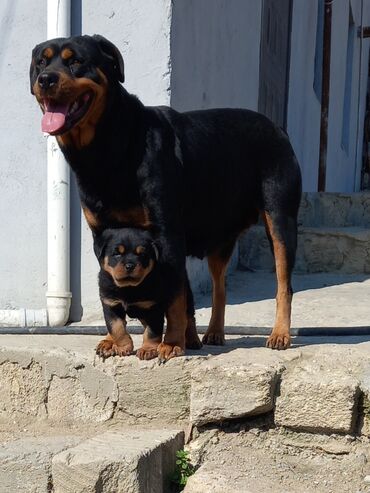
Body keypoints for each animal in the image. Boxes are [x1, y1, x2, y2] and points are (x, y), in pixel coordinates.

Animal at [94, 228, 197, 362]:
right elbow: (116, 328)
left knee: (188, 317)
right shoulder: (111, 305)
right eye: (117, 253)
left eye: (142, 254)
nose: (130, 266)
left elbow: (152, 331)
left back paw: (194, 340)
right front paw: (123, 347)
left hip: (184, 294)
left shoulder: (153, 308)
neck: (128, 288)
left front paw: (148, 349)